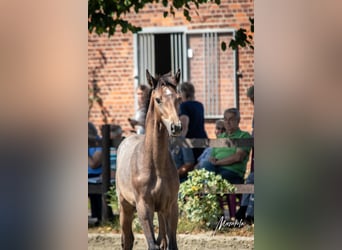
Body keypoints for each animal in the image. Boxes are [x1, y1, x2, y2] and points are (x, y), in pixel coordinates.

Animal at [116, 69, 182, 249]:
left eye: (178, 98)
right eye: (158, 99)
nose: (176, 127)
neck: (155, 165)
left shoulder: (171, 206)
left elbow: (171, 244)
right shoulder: (144, 207)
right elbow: (151, 244)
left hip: (160, 210)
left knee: (162, 240)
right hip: (125, 206)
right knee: (127, 239)